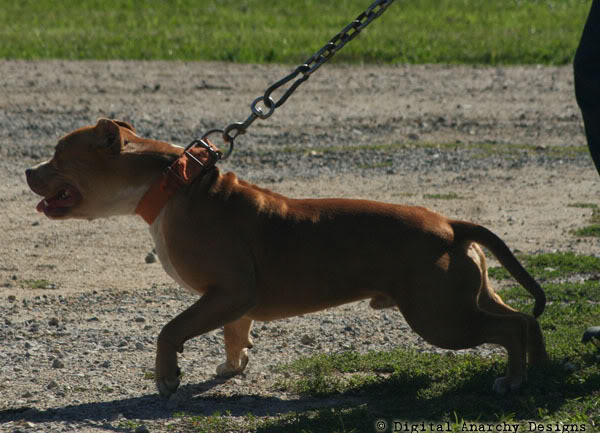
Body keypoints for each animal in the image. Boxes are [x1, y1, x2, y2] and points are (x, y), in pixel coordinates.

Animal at [24, 118, 548, 394]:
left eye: (59, 155)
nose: (28, 170)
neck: (170, 184)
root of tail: (451, 225)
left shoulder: (227, 291)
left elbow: (169, 330)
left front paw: (167, 377)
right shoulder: (233, 300)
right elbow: (233, 335)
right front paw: (232, 367)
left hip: (440, 318)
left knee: (508, 329)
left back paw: (513, 381)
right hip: (469, 300)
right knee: (523, 319)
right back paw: (541, 368)